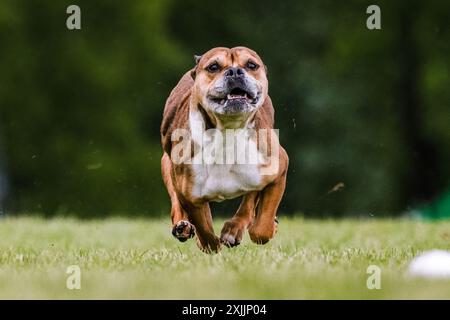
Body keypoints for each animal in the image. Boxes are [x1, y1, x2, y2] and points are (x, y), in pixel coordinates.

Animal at [161, 47, 288, 252]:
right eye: (213, 67)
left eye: (251, 65)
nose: (235, 71)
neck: (228, 132)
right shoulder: (191, 195)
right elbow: (204, 228)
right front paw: (209, 243)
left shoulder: (278, 169)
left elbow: (262, 226)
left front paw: (267, 226)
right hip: (167, 166)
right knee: (176, 203)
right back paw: (183, 227)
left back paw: (234, 230)